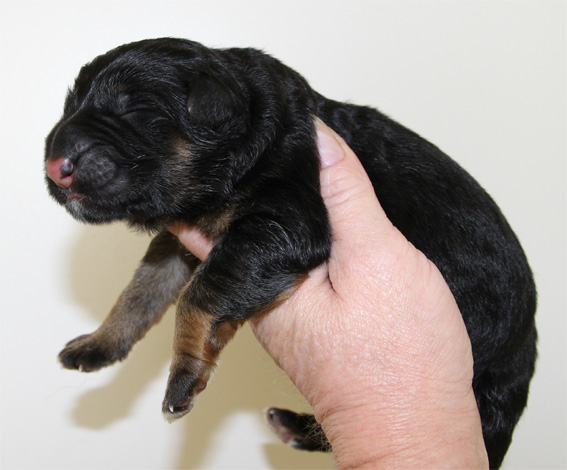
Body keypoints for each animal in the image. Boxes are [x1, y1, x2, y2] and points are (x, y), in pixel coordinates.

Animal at [44, 38, 536, 468]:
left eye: (133, 108)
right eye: (71, 106)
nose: (54, 166)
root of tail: (526, 346)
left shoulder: (285, 222)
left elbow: (198, 296)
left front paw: (183, 374)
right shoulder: (182, 240)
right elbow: (142, 288)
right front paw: (101, 341)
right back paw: (297, 427)